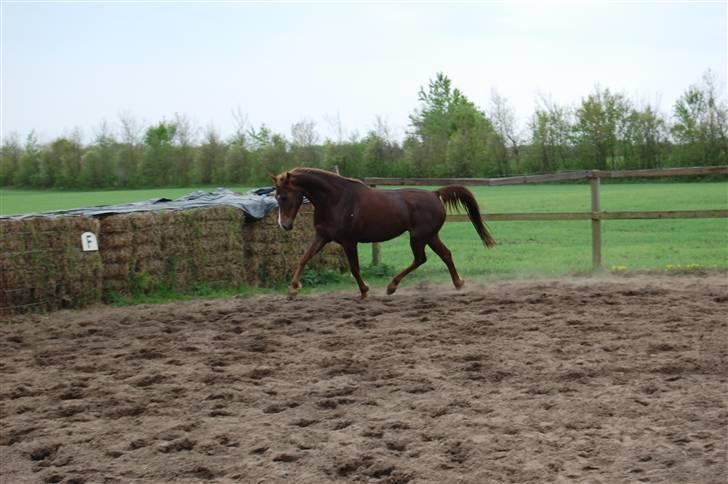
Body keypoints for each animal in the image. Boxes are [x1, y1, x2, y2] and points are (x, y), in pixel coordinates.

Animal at [272, 167, 494, 298]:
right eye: (276, 196)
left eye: (284, 197)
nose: (285, 225)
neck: (337, 200)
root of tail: (435, 193)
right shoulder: (322, 236)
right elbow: (304, 258)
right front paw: (292, 288)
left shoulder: (349, 241)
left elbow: (355, 269)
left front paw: (364, 291)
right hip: (430, 236)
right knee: (445, 254)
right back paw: (458, 283)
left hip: (418, 237)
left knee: (421, 259)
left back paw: (391, 286)